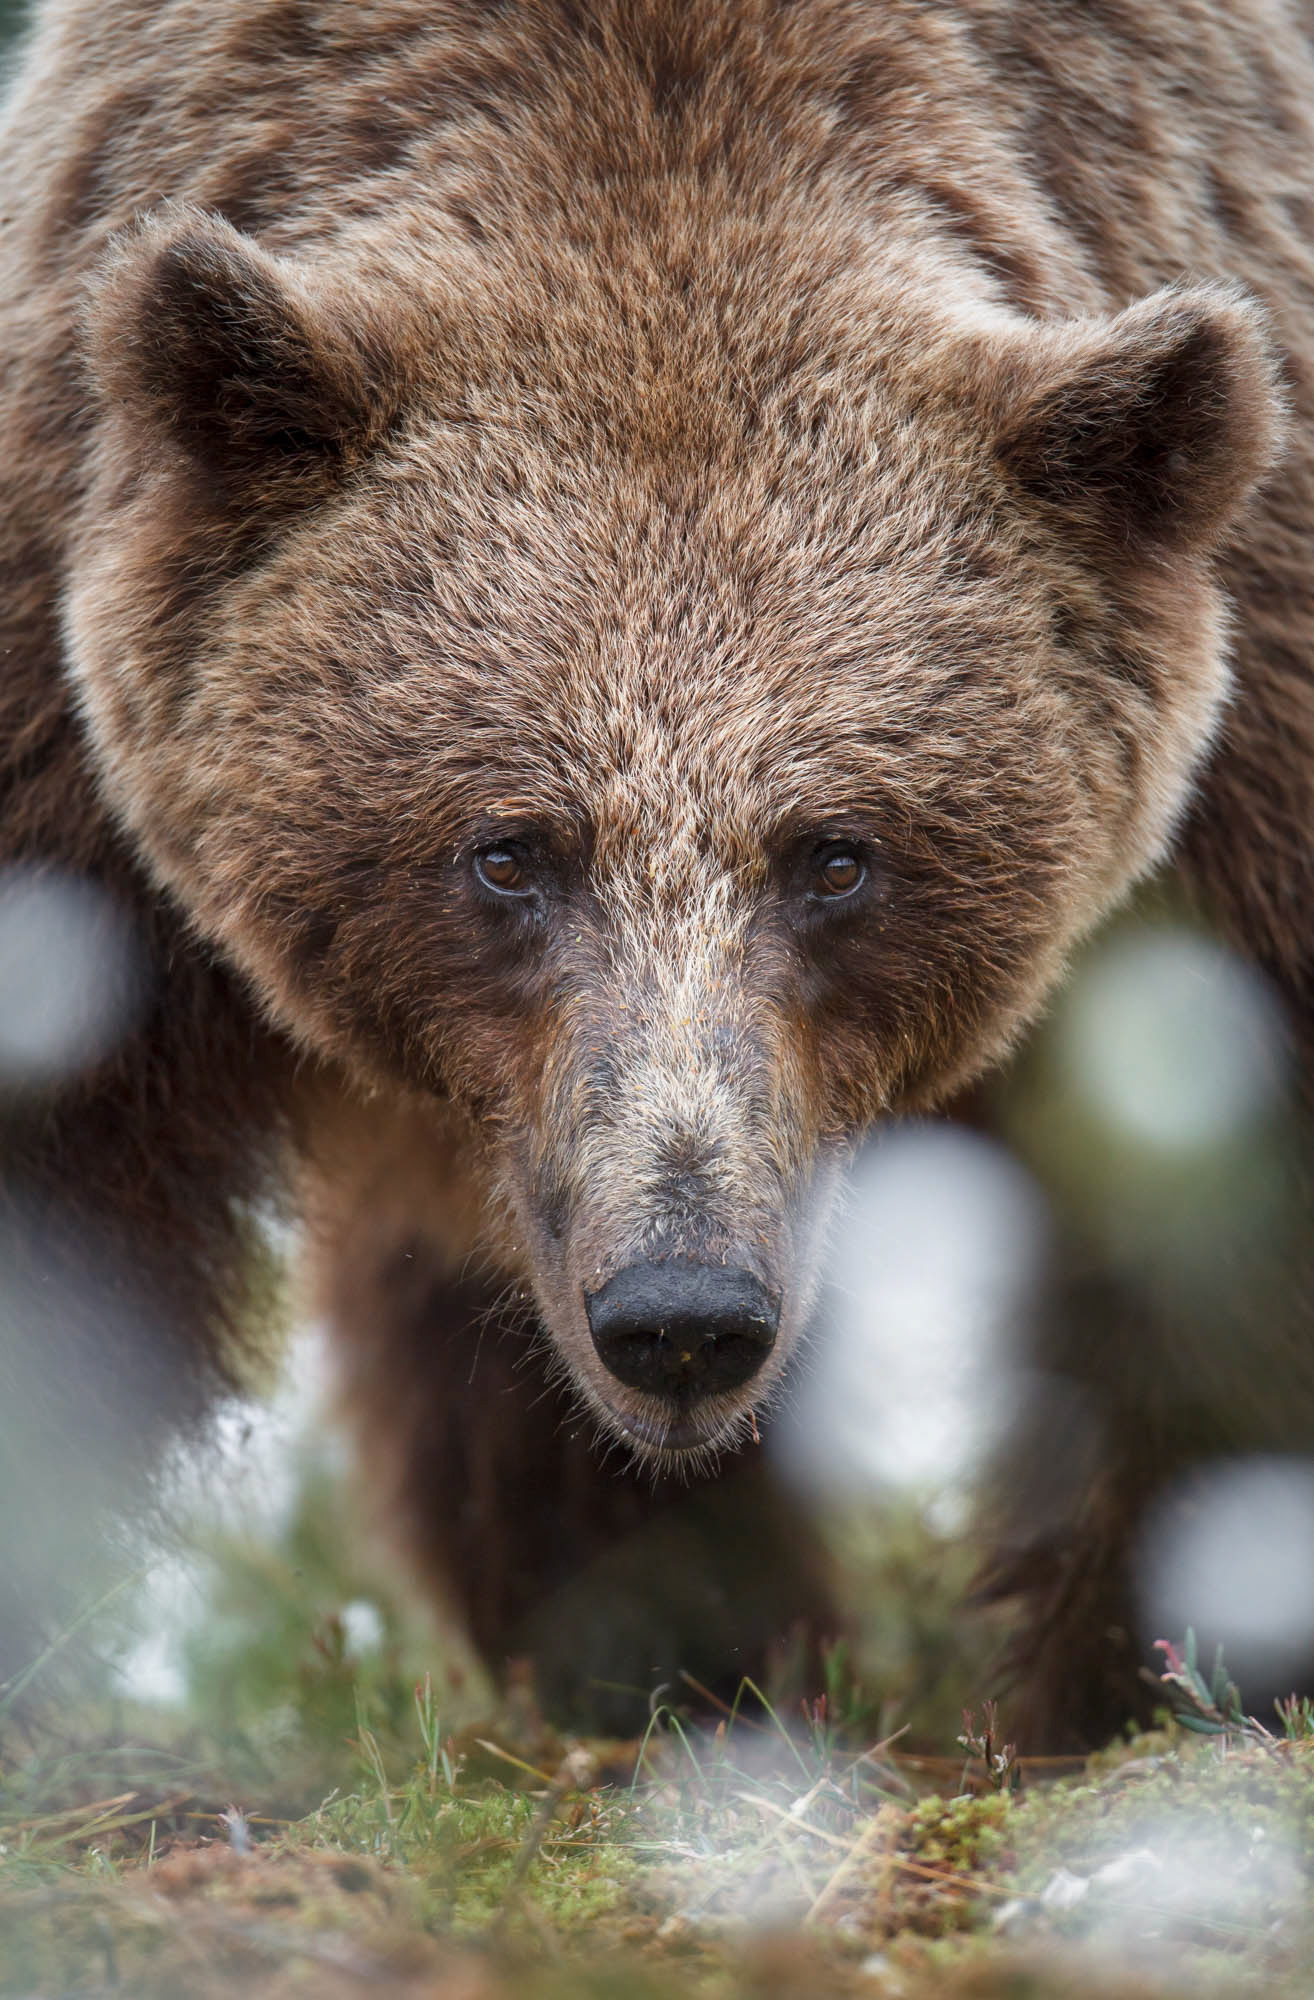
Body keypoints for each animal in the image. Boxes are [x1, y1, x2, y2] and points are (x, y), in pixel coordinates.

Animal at [0, 0, 1311, 1745]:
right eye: (507, 852)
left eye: (837, 856)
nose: (680, 1319)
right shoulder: (57, 710)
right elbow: (58, 1171)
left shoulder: (1252, 746)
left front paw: (1141, 1667)